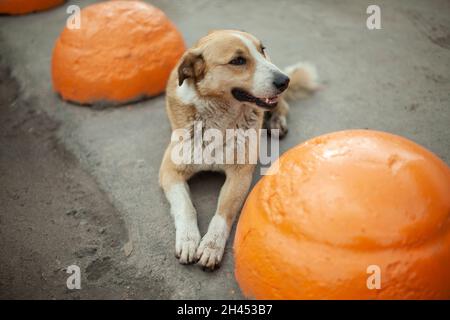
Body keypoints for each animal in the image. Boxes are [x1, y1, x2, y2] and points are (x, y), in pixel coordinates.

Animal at [160, 30, 318, 270]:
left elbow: (223, 213)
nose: (285, 81)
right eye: (237, 61)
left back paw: (277, 121)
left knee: (281, 105)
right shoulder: (169, 171)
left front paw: (211, 246)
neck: (218, 120)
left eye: (261, 49)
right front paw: (188, 239)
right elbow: (185, 206)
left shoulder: (240, 174)